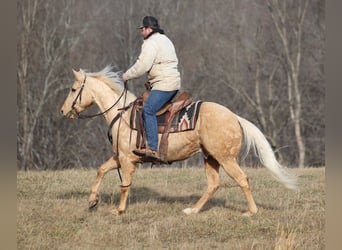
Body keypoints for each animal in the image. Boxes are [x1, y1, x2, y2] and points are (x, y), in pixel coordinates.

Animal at [60, 65, 296, 216]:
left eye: (73, 89)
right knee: (214, 184)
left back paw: (250, 211)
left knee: (242, 179)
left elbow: (125, 185)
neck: (122, 114)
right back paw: (193, 210)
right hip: (210, 158)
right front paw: (92, 201)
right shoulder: (120, 157)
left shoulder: (127, 160)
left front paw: (118, 210)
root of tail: (235, 117)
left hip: (225, 158)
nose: (63, 111)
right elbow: (100, 170)